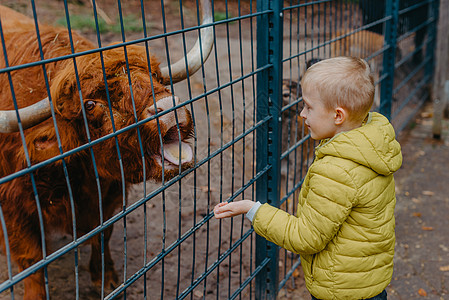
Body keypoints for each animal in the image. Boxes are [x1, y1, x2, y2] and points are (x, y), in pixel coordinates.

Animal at [0, 1, 212, 298]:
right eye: (90, 104)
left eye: (156, 77)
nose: (170, 108)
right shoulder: (14, 207)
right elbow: (31, 262)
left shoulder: (112, 191)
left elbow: (103, 234)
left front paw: (107, 280)